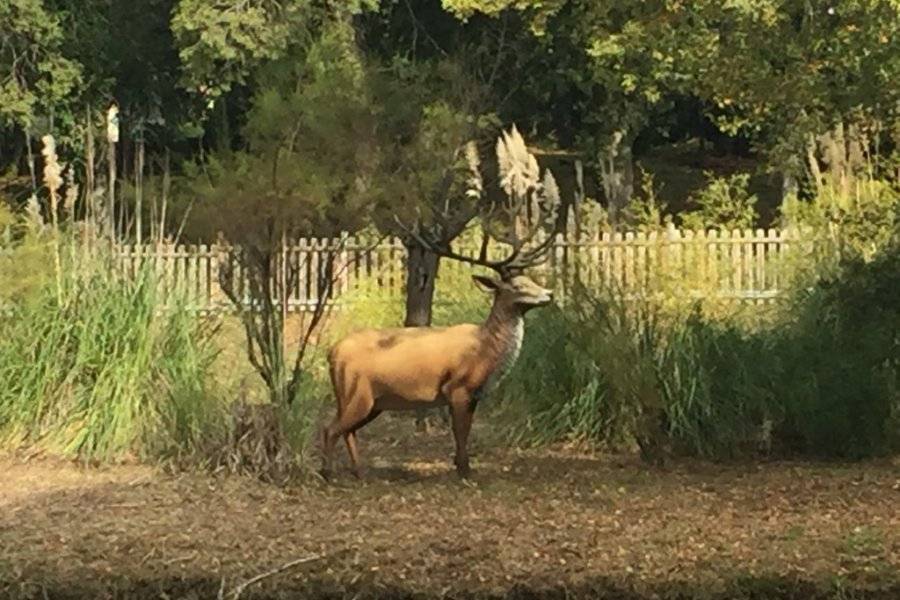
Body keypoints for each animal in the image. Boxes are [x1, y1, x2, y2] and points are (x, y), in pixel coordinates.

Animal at [322, 124, 564, 480]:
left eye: (532, 279)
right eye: (518, 285)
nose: (549, 295)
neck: (485, 352)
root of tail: (331, 352)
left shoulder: (474, 395)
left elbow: (465, 432)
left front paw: (462, 467)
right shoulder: (458, 387)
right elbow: (460, 433)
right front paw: (464, 470)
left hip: (371, 400)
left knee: (347, 430)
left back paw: (358, 470)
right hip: (358, 392)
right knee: (331, 428)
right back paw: (327, 472)